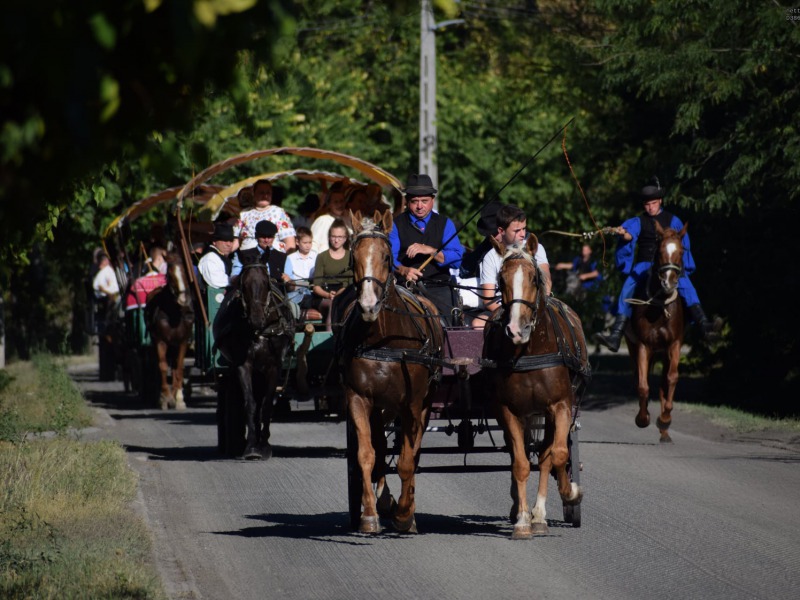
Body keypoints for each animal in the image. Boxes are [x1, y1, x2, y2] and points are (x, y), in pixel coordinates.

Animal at [145, 251, 195, 410]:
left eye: (185, 271)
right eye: (170, 274)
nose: (183, 299)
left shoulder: (183, 341)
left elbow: (179, 368)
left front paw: (179, 399)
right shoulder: (160, 341)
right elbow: (162, 366)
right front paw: (164, 398)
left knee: (174, 367)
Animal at [214, 248, 296, 460]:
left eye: (267, 282)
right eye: (243, 285)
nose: (256, 319)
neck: (260, 331)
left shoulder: (274, 366)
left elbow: (266, 406)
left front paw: (264, 446)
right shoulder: (243, 365)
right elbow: (250, 403)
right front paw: (251, 446)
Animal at [340, 211, 446, 536]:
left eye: (387, 257)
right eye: (353, 256)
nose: (368, 306)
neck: (385, 339)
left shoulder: (412, 404)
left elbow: (407, 460)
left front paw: (404, 515)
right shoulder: (359, 399)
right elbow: (367, 455)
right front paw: (369, 514)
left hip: (422, 403)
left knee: (412, 450)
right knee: (380, 446)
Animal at [482, 234, 588, 540]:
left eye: (533, 277)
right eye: (501, 279)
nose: (516, 330)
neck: (529, 350)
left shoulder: (561, 406)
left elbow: (557, 455)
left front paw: (570, 492)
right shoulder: (508, 411)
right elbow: (519, 463)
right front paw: (521, 520)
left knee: (546, 455)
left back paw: (540, 515)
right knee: (520, 455)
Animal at [624, 223, 688, 442]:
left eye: (681, 251)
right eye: (660, 251)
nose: (668, 282)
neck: (659, 307)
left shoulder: (674, 345)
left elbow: (672, 378)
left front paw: (665, 419)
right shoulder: (644, 346)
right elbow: (643, 386)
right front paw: (643, 419)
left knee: (663, 384)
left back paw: (664, 431)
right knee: (639, 378)